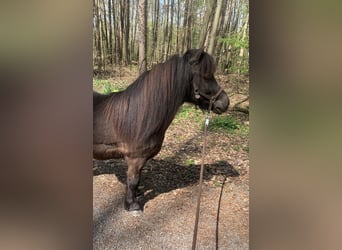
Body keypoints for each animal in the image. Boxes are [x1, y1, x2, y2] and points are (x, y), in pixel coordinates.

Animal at [93, 48, 230, 213]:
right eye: (206, 76)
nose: (225, 102)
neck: (139, 116)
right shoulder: (135, 158)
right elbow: (133, 180)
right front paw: (132, 204)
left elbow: (137, 180)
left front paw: (137, 194)